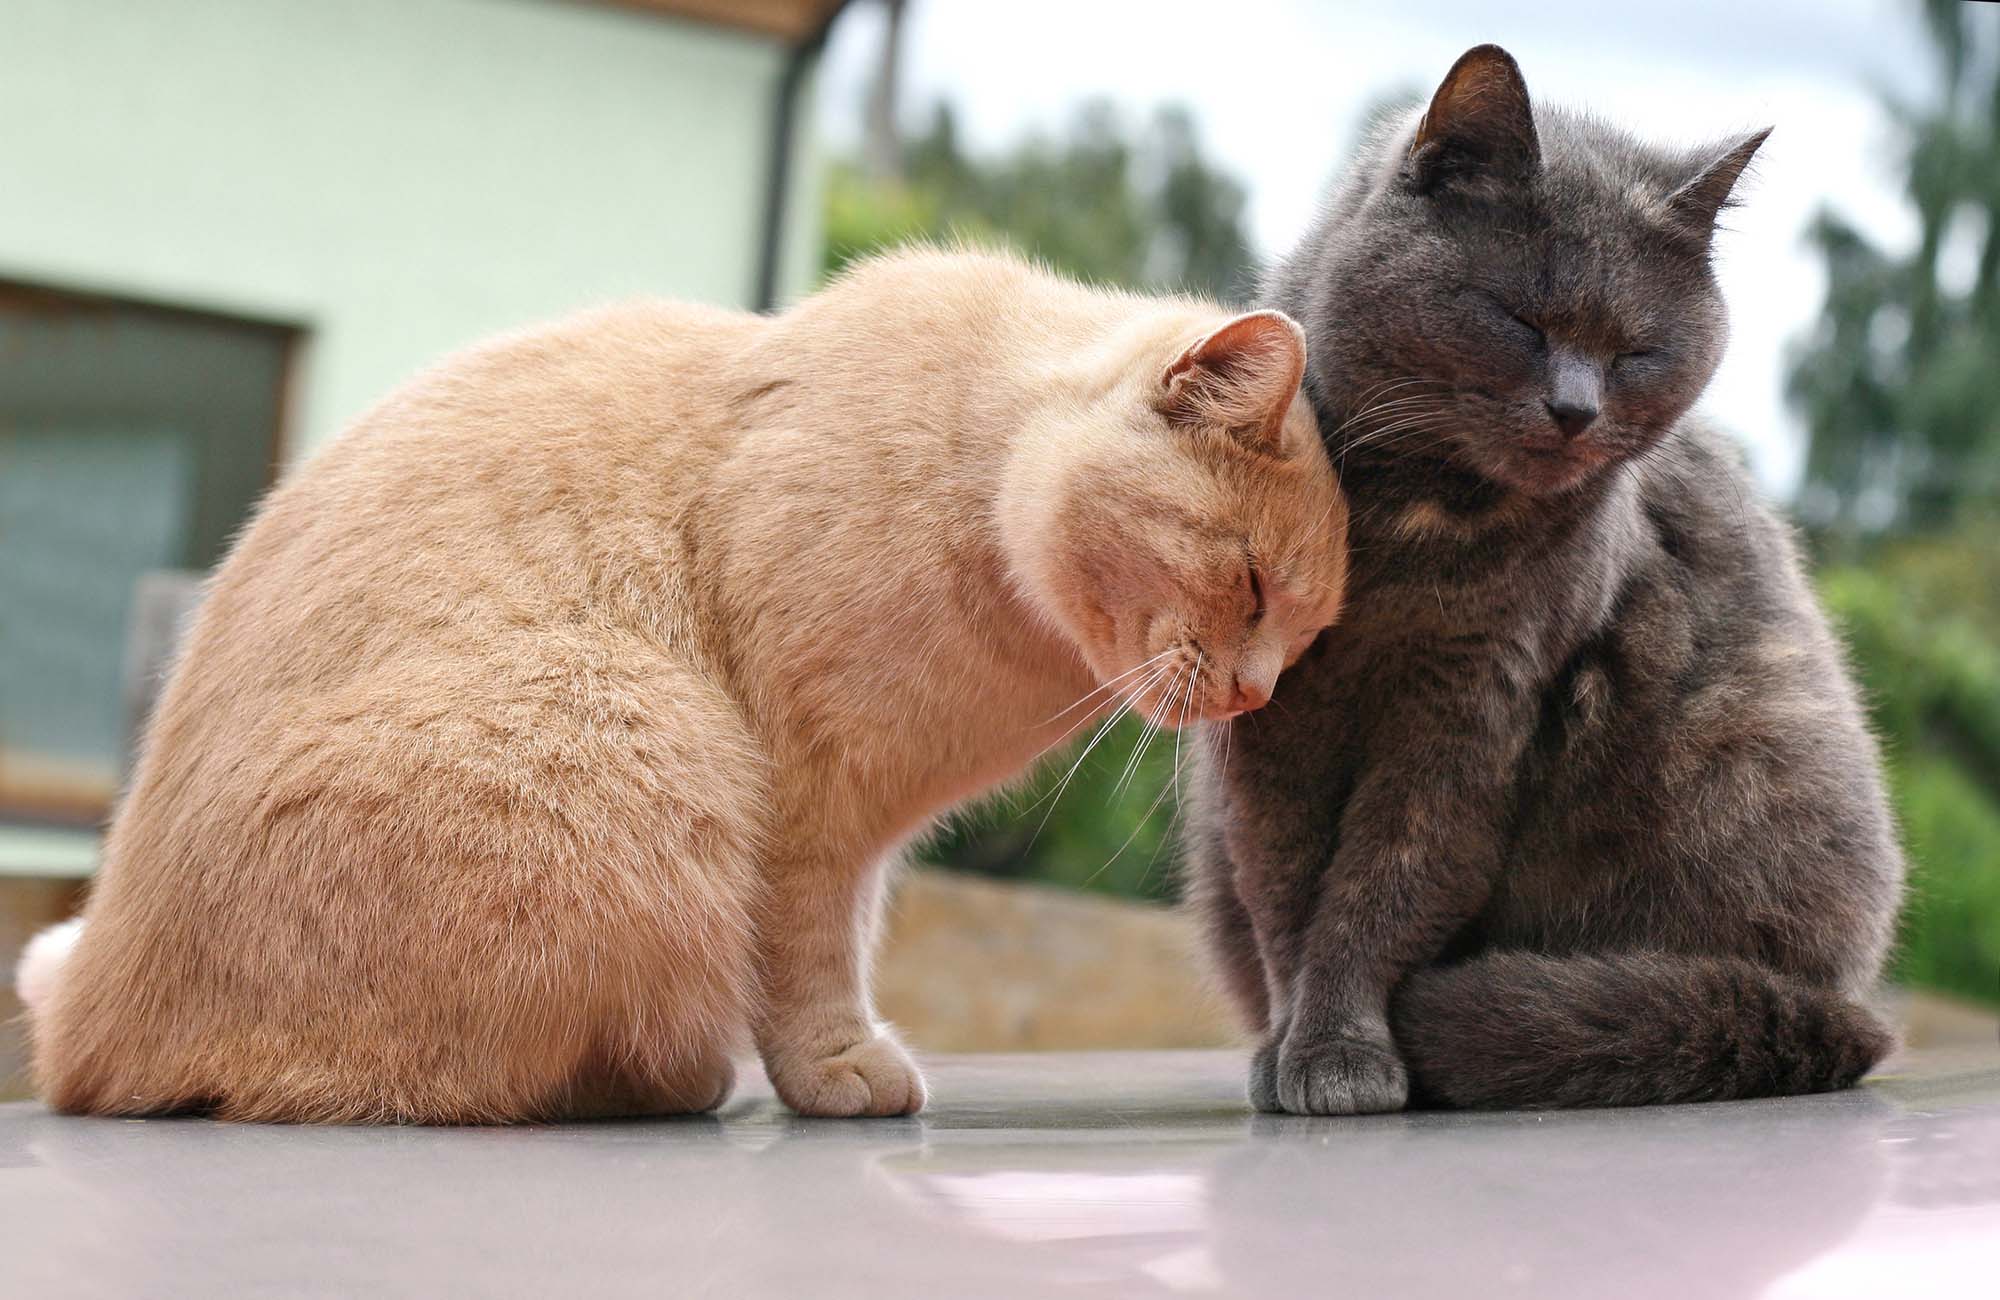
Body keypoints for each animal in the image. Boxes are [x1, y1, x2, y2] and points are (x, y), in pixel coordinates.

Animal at [15, 248, 1344, 1120]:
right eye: (1251, 587)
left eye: (1305, 635)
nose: (1251, 692)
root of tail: (88, 1019)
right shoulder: (809, 810)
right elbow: (808, 960)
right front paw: (837, 1068)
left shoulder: (856, 830)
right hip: (637, 733)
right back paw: (672, 1077)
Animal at [1184, 45, 1904, 1112]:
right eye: (1518, 319)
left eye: (1638, 350)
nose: (1575, 407)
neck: (1410, 533)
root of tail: (1856, 1010)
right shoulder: (1273, 722)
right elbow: (1281, 888)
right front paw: (1292, 1048)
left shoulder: (1473, 706)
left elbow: (1384, 886)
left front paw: (1341, 1053)